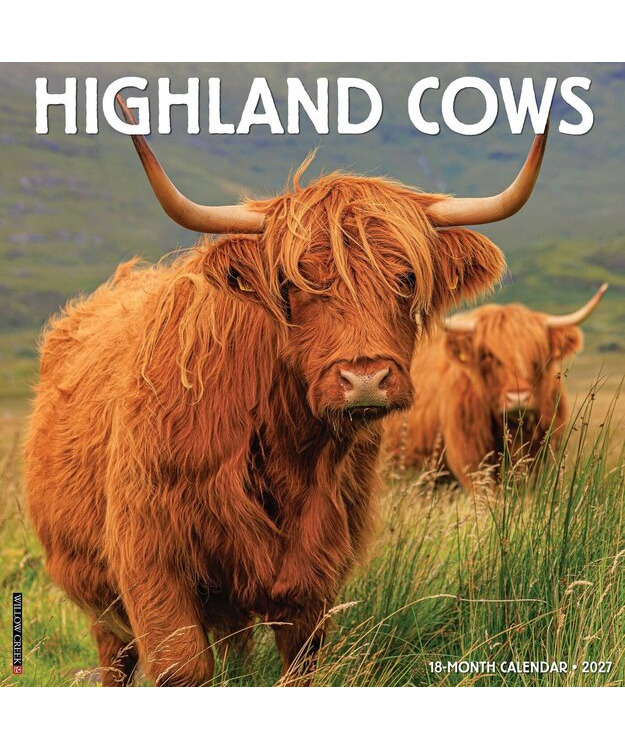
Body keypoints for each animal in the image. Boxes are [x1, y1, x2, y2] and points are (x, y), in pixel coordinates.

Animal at [23, 96, 547, 686]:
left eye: (407, 277)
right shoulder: (149, 557)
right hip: (98, 595)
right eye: (295, 284)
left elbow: (298, 666)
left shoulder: (316, 571)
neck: (284, 445)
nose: (365, 379)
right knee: (116, 659)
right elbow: (183, 667)